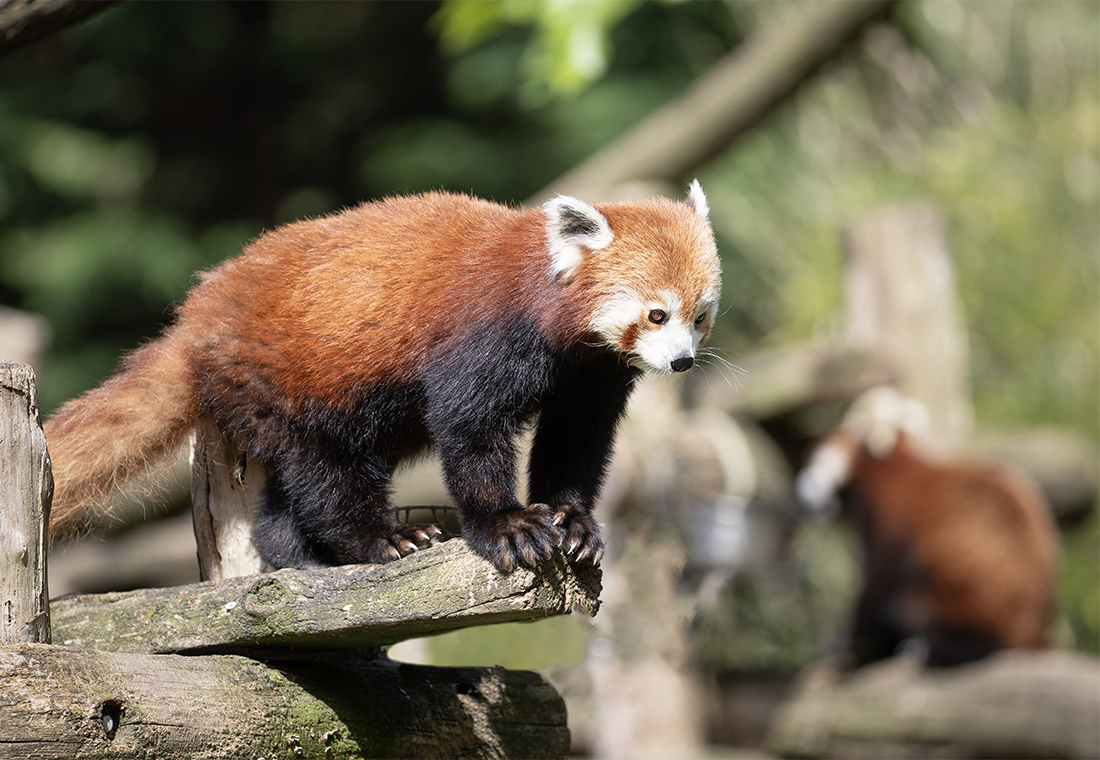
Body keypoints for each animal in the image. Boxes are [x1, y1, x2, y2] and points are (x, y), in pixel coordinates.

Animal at [42, 184, 721, 571]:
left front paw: (572, 520)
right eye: (655, 314)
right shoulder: (484, 339)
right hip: (286, 385)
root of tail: (192, 325)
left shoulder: (589, 376)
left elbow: (576, 441)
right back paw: (376, 541)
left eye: (699, 316)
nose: (682, 361)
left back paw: (299, 554)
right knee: (326, 472)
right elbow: (468, 428)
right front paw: (506, 526)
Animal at [800, 389, 1056, 668]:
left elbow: (874, 590)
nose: (805, 487)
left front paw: (845, 643)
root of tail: (1034, 632)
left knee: (922, 611)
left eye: (817, 460)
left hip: (964, 591)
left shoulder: (890, 526)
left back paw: (925, 646)